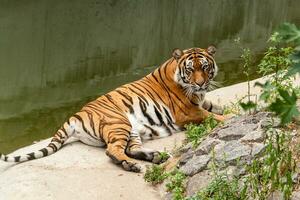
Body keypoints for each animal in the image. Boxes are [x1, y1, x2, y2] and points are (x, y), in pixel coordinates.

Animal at [0, 45, 225, 172]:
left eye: (205, 67)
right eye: (191, 69)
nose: (200, 84)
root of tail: (74, 116)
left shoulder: (198, 101)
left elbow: (213, 106)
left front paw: (223, 107)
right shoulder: (188, 111)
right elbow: (212, 115)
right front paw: (229, 116)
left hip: (131, 129)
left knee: (131, 149)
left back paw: (155, 157)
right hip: (119, 122)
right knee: (113, 150)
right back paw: (133, 165)